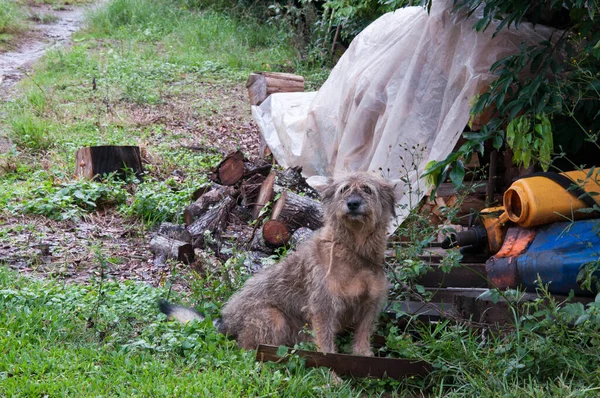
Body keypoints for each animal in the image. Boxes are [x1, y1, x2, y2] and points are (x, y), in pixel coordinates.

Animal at [159, 171, 396, 354]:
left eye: (367, 189)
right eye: (344, 189)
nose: (353, 203)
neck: (353, 251)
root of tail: (223, 322)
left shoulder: (369, 308)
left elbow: (362, 343)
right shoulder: (323, 309)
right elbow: (326, 347)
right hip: (273, 317)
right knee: (247, 350)